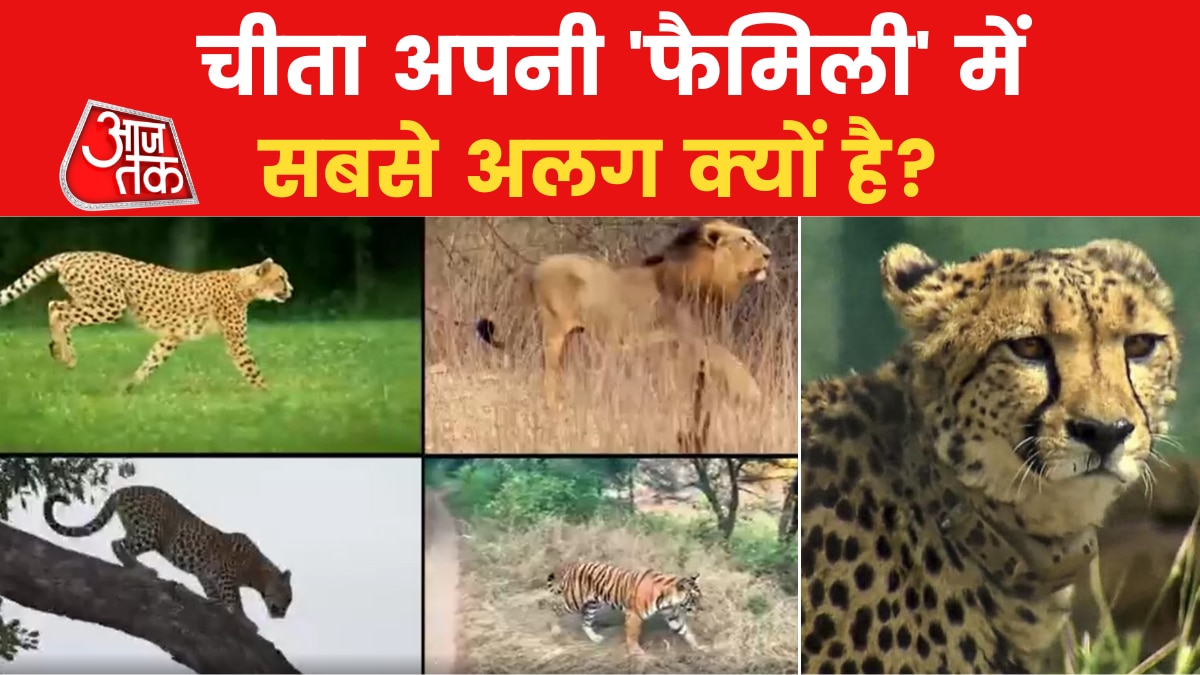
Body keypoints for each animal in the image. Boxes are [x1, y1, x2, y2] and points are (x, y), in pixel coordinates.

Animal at [0, 251, 293, 391]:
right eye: (281, 277)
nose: (291, 290)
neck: (244, 284)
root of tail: (74, 253)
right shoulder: (236, 341)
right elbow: (250, 368)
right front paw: (271, 395)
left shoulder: (172, 336)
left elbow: (152, 360)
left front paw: (129, 385)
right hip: (111, 304)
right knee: (57, 310)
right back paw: (67, 355)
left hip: (93, 301)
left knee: (55, 306)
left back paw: (59, 351)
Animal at [44, 485, 293, 627]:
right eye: (288, 598)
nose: (282, 615)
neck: (258, 572)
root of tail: (124, 489)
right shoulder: (226, 575)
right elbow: (235, 600)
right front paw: (246, 621)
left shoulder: (207, 576)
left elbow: (214, 596)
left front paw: (217, 607)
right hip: (151, 532)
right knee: (118, 544)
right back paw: (142, 569)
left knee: (119, 543)